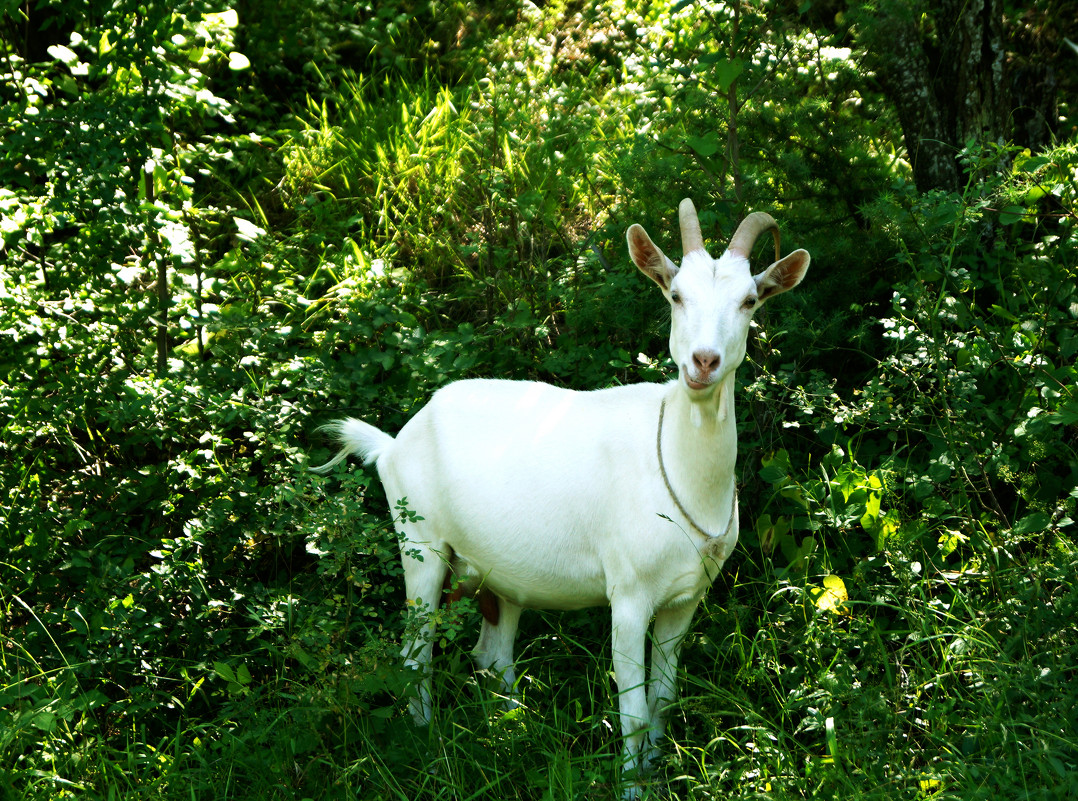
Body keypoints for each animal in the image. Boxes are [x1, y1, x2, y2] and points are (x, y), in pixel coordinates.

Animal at [314, 201, 810, 797]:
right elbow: (633, 709)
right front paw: (632, 786)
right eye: (675, 295)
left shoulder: (686, 599)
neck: (679, 470)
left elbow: (664, 698)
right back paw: (429, 753)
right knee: (415, 657)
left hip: (495, 574)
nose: (704, 362)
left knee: (492, 653)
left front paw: (657, 771)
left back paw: (511, 737)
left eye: (749, 301)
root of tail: (393, 443)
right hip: (421, 545)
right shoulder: (629, 596)